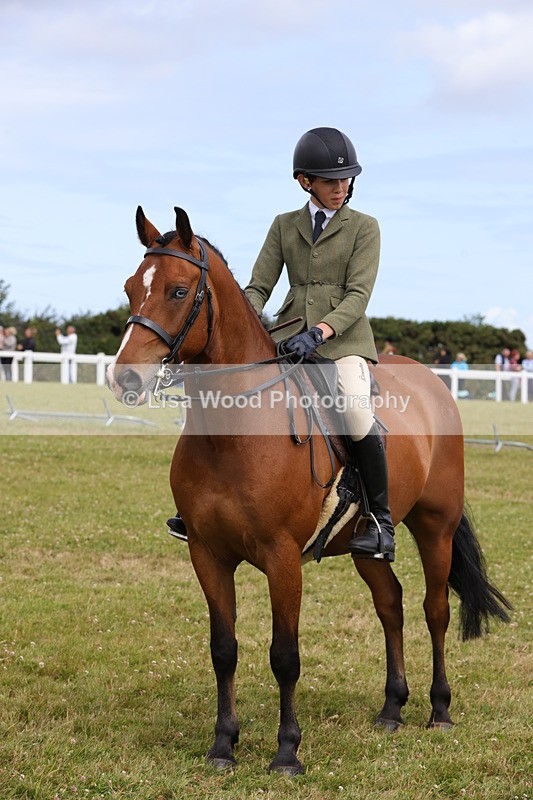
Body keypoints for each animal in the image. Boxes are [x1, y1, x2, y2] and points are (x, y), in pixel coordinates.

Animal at [107, 206, 511, 775]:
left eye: (179, 291)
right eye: (129, 288)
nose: (125, 380)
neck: (233, 432)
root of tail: (433, 382)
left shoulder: (282, 558)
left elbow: (285, 655)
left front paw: (286, 752)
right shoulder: (207, 554)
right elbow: (223, 649)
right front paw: (223, 745)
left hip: (436, 527)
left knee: (436, 609)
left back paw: (439, 710)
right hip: (367, 543)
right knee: (391, 604)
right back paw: (392, 708)